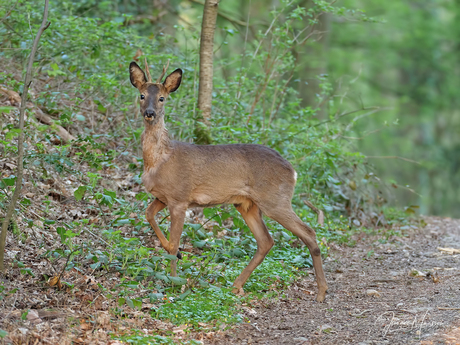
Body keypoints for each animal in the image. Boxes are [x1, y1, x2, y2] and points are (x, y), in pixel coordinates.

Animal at [130, 59, 328, 300]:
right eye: (141, 95)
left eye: (162, 98)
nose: (149, 113)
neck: (159, 161)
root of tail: (292, 170)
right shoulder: (162, 197)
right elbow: (148, 215)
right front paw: (174, 260)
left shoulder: (179, 197)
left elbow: (175, 242)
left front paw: (175, 284)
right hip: (246, 204)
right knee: (266, 241)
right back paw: (236, 286)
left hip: (275, 200)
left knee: (308, 232)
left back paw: (321, 291)